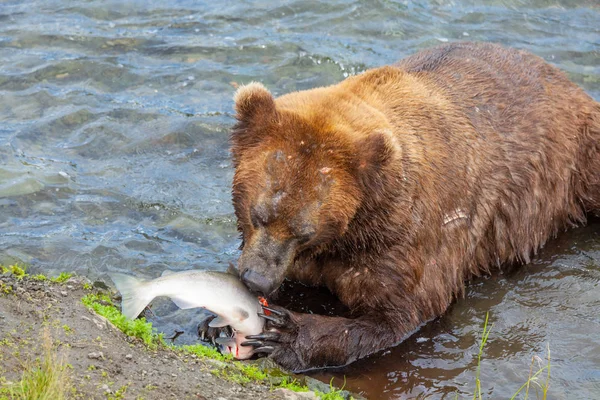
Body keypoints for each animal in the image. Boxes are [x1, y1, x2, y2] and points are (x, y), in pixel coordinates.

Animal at [229, 41, 600, 372]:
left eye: (304, 232)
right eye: (258, 215)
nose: (256, 280)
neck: (351, 231)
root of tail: (566, 80)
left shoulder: (410, 237)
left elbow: (399, 313)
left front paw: (284, 334)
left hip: (578, 163)